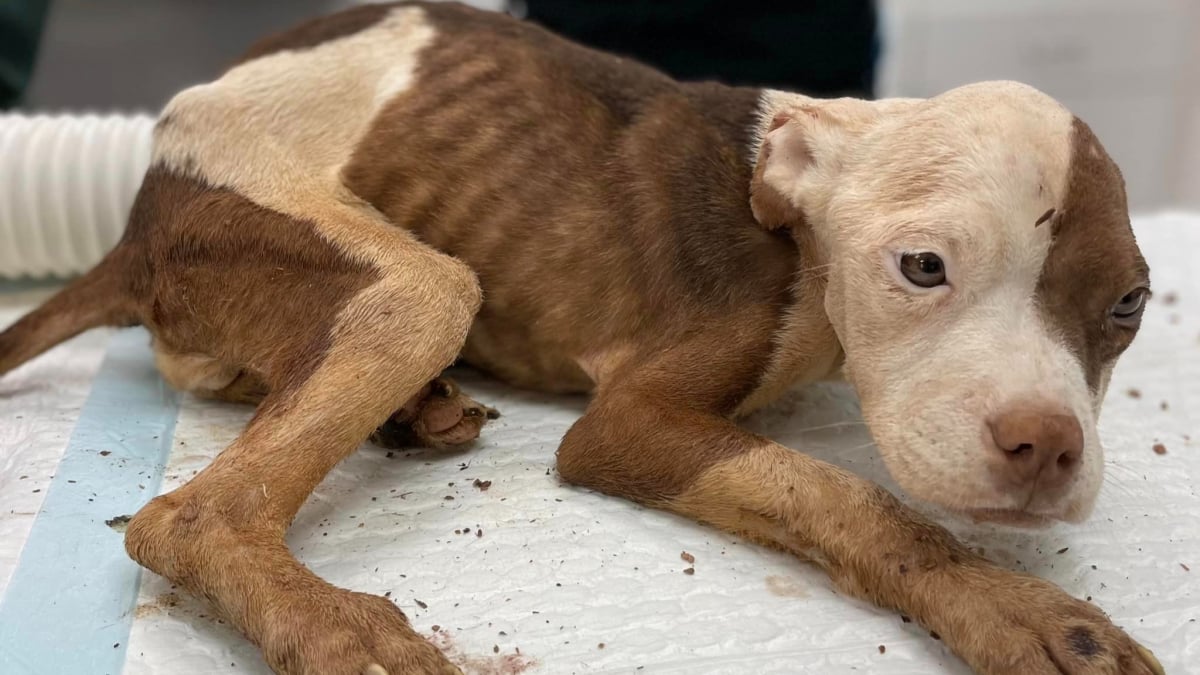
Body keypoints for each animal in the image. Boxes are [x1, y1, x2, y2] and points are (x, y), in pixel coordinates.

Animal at [0, 1, 1161, 672]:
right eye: (923, 267)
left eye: (1130, 306)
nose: (1047, 448)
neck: (800, 218)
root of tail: (138, 215)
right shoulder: (631, 422)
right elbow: (859, 500)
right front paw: (1025, 614)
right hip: (415, 284)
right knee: (188, 516)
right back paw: (341, 630)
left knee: (211, 370)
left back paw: (411, 412)